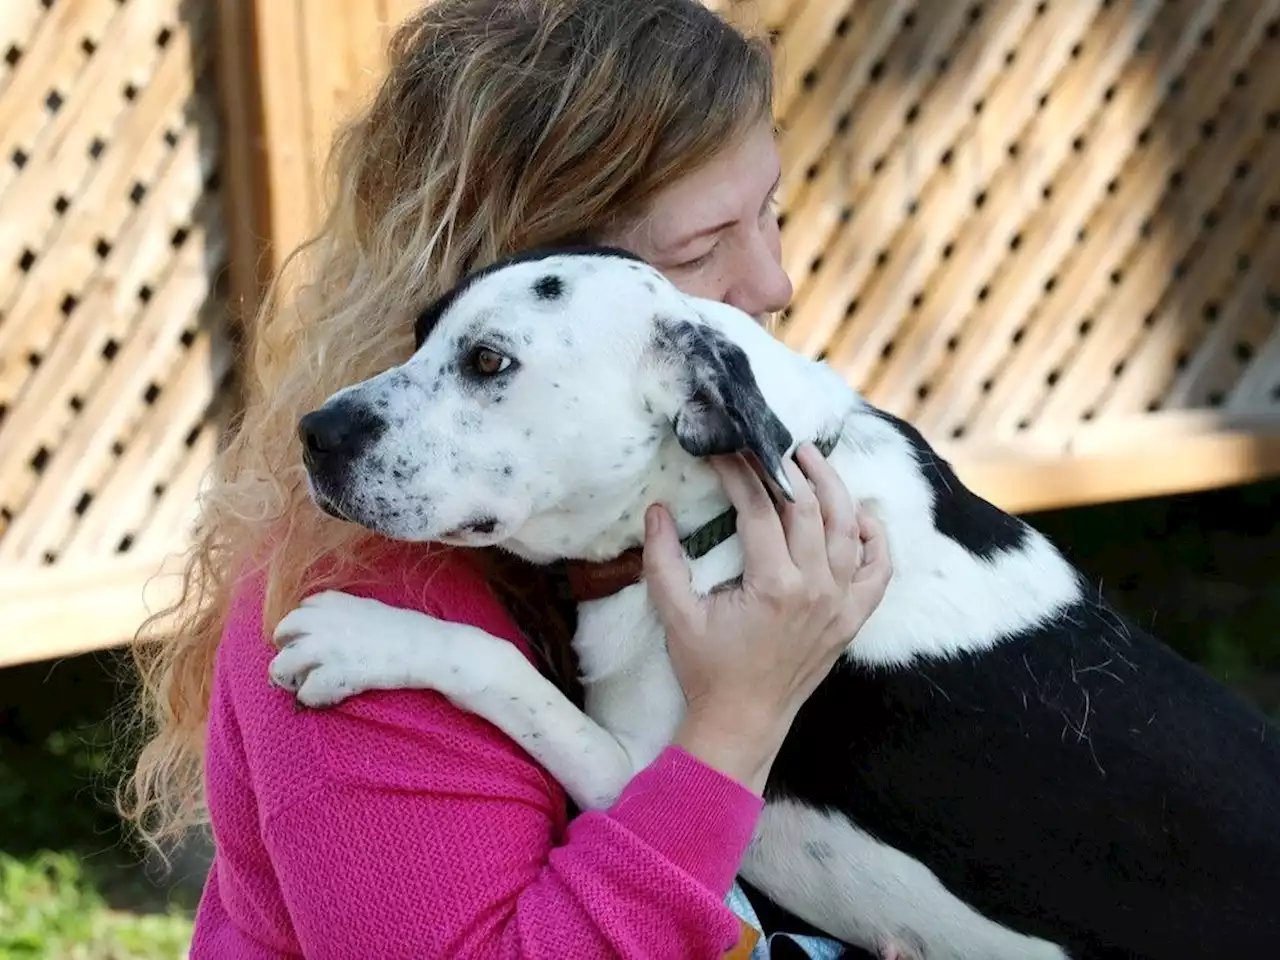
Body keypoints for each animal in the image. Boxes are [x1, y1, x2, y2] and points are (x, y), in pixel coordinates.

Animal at [270, 249, 1280, 960]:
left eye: (488, 360)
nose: (313, 433)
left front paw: (362, 636)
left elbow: (502, 668)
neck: (723, 512)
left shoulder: (638, 776)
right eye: (421, 331)